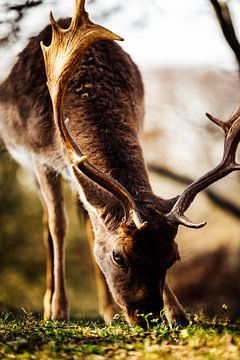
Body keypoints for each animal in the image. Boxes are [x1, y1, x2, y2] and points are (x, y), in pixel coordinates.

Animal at [0, 0, 239, 326]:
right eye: (118, 256)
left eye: (173, 257)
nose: (148, 316)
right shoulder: (40, 159)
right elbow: (58, 226)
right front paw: (58, 311)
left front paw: (178, 314)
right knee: (48, 223)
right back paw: (51, 303)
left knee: (89, 223)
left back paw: (109, 311)